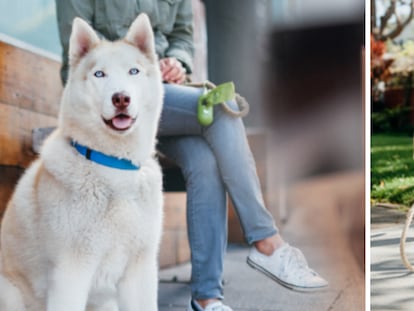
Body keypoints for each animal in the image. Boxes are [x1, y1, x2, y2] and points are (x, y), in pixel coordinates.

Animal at [0, 13, 164, 310]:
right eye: (99, 74)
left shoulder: (140, 270)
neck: (113, 164)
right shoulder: (71, 271)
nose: (121, 98)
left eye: (133, 71)